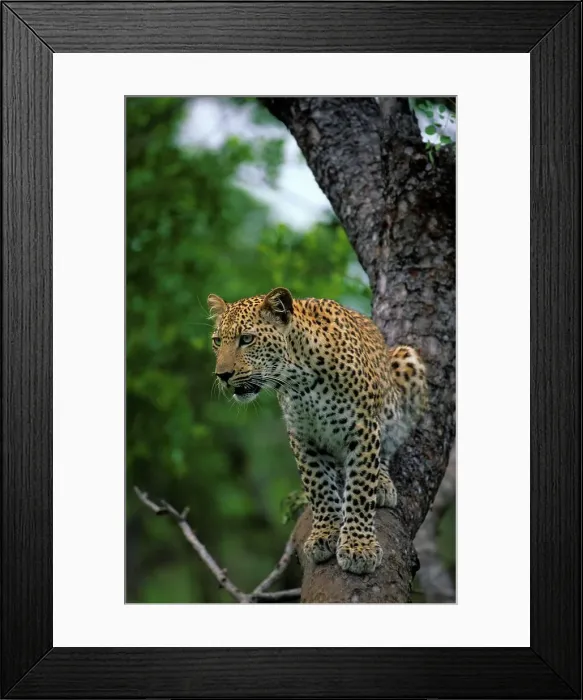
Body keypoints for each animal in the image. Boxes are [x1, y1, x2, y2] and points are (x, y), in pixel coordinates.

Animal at [208, 287, 428, 575]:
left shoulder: (362, 428)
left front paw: (359, 547)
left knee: (385, 453)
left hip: (406, 362)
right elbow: (318, 486)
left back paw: (381, 483)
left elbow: (360, 488)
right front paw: (325, 534)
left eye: (246, 339)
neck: (300, 379)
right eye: (216, 341)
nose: (222, 375)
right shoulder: (302, 435)